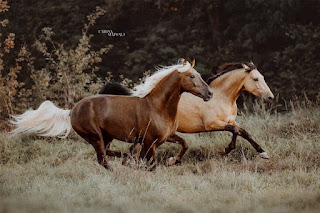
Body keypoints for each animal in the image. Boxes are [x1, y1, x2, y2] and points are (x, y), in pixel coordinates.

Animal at [10, 58, 212, 170]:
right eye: (192, 76)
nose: (210, 93)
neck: (158, 106)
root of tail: (72, 109)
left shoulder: (166, 137)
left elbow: (184, 144)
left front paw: (172, 161)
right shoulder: (150, 143)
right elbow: (151, 166)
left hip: (106, 136)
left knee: (108, 154)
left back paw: (126, 160)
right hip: (95, 136)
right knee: (102, 160)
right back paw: (122, 167)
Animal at [100, 61, 276, 165]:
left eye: (262, 77)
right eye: (255, 79)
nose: (270, 97)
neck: (221, 97)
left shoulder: (230, 120)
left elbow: (243, 132)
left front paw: (263, 153)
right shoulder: (212, 124)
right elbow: (235, 131)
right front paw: (226, 150)